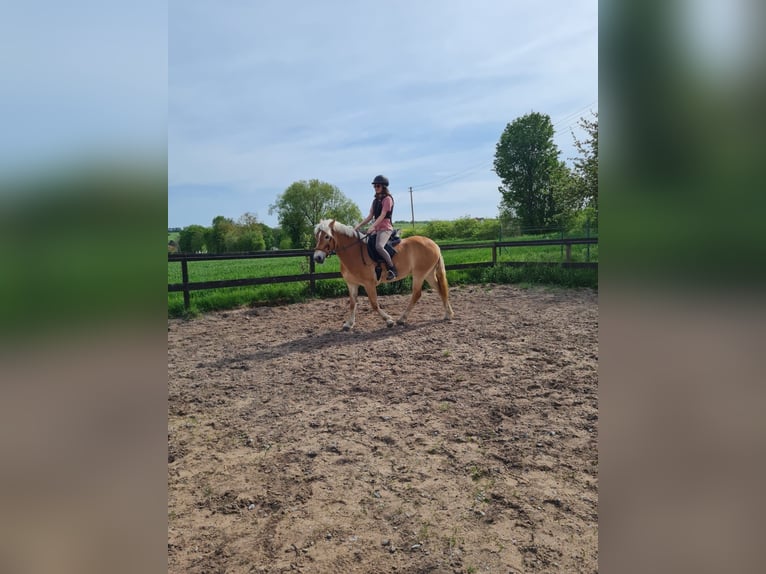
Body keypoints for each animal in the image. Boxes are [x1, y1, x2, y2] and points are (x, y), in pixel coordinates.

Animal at [314, 219, 456, 330]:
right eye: (317, 236)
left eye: (327, 236)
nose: (317, 257)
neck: (353, 252)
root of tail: (434, 244)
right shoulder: (352, 283)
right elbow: (352, 303)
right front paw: (348, 324)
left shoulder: (369, 284)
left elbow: (374, 304)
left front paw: (389, 320)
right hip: (428, 274)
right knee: (440, 290)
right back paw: (448, 314)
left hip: (419, 274)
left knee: (417, 294)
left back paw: (402, 319)